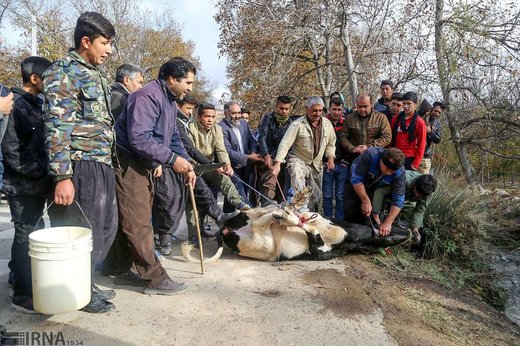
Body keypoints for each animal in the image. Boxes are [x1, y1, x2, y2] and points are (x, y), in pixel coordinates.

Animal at [183, 188, 410, 264]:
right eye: (394, 225)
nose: (409, 232)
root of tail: (225, 230)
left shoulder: (319, 251)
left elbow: (312, 234)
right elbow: (309, 225)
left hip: (264, 243)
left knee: (264, 219)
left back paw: (287, 212)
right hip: (258, 228)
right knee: (268, 211)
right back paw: (291, 205)